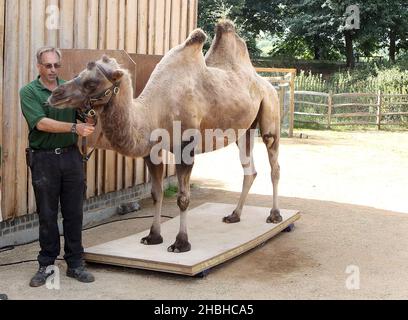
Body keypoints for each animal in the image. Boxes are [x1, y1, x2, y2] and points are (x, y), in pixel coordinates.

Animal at [48, 20, 280, 255]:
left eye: (91, 83)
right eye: (78, 74)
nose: (55, 94)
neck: (155, 111)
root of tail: (265, 81)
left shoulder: (185, 149)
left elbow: (183, 198)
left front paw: (181, 243)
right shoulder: (152, 151)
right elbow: (156, 193)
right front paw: (152, 237)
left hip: (271, 111)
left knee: (274, 164)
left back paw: (274, 215)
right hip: (244, 130)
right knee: (249, 169)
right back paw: (234, 215)